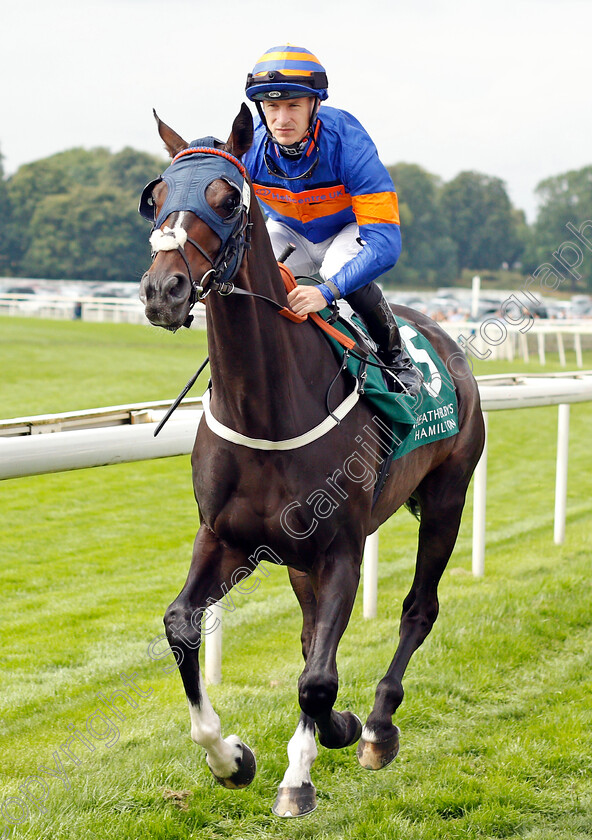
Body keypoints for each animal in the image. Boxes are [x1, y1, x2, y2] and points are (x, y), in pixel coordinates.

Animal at [139, 106, 486, 820]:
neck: (266, 407)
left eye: (226, 198)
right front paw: (229, 757)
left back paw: (376, 727)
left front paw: (310, 763)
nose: (164, 290)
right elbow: (184, 627)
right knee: (309, 634)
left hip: (448, 495)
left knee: (418, 609)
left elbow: (319, 679)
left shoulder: (341, 548)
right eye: (155, 198)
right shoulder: (226, 539)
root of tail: (443, 335)